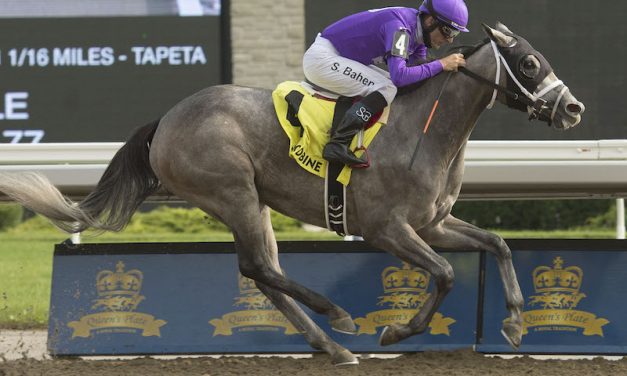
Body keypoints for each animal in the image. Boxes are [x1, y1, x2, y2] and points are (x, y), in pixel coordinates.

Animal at [2, 23, 588, 364]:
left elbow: (499, 245)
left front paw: (514, 324)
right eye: (530, 63)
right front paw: (395, 333)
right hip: (232, 192)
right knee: (258, 268)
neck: (423, 129)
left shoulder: (433, 223)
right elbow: (443, 274)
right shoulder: (386, 229)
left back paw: (330, 344)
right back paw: (338, 318)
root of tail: (166, 120)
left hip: (255, 204)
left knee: (263, 273)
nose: (573, 108)